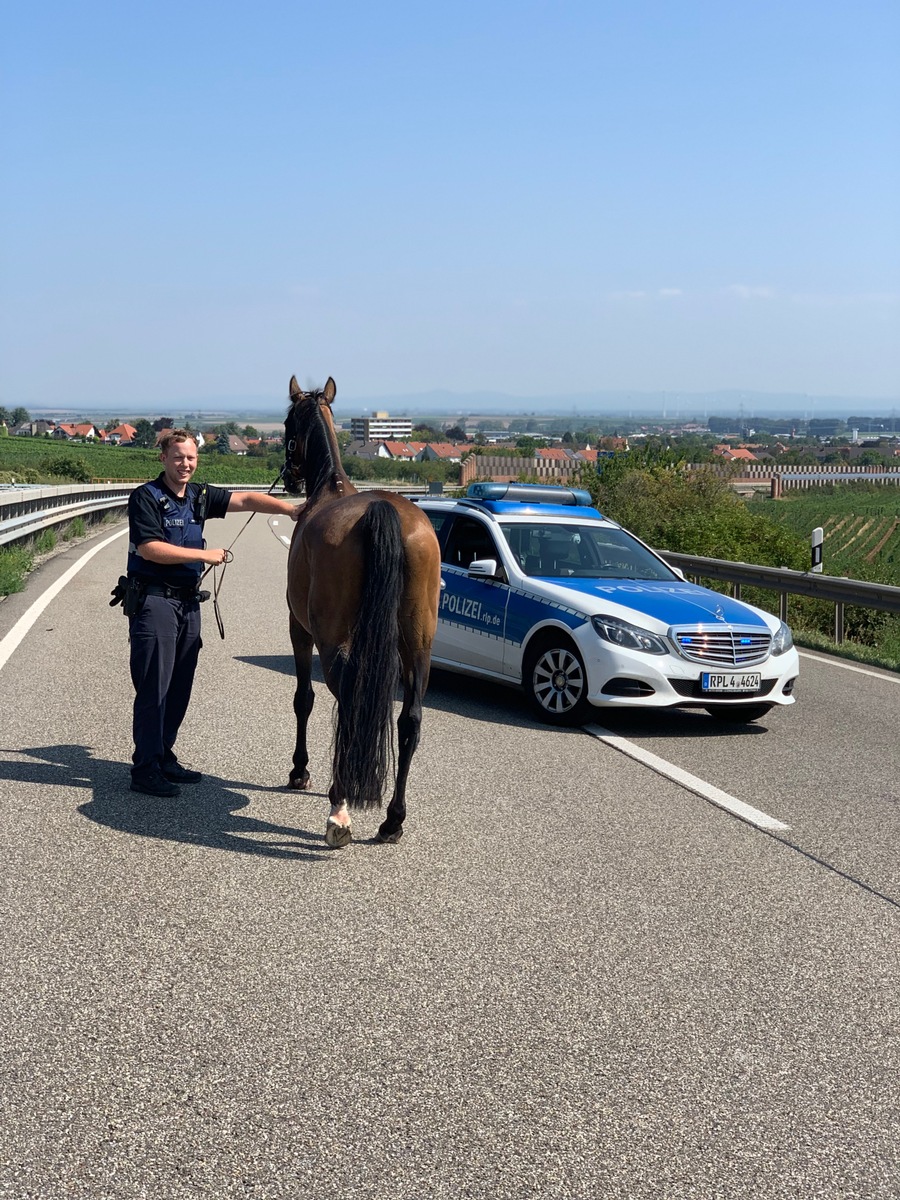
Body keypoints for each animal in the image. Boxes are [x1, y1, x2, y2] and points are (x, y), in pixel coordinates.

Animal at [278, 374, 441, 844]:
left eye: (287, 423)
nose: (289, 479)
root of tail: (385, 511)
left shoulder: (299, 629)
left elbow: (304, 698)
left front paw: (300, 771)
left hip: (334, 643)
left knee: (348, 705)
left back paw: (340, 805)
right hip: (418, 645)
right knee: (410, 720)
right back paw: (393, 819)